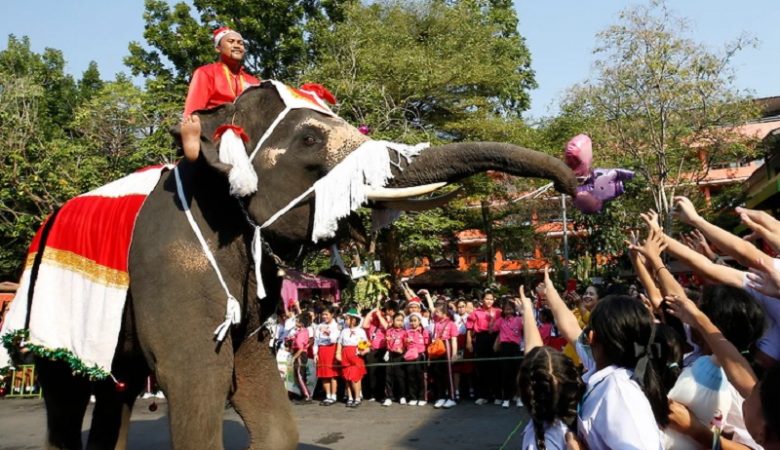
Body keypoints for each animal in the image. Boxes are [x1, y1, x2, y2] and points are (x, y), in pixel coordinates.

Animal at [27, 81, 576, 450]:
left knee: (114, 389)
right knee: (67, 395)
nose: (570, 180)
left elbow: (257, 381)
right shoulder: (173, 265)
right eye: (310, 140)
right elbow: (199, 375)